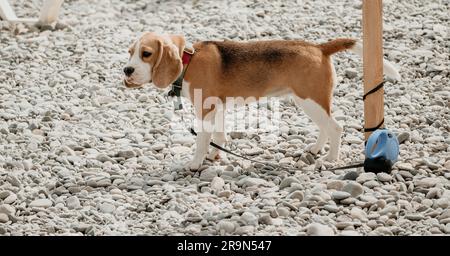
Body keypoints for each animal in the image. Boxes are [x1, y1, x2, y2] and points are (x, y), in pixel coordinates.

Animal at [123, 32, 400, 172]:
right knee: (326, 127)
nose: (126, 70)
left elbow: (202, 140)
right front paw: (215, 155)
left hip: (310, 100)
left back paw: (330, 159)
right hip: (308, 102)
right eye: (130, 52)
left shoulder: (205, 111)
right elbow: (219, 135)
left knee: (336, 127)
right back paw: (315, 149)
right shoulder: (217, 108)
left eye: (146, 54)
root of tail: (319, 47)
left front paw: (195, 163)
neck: (188, 60)